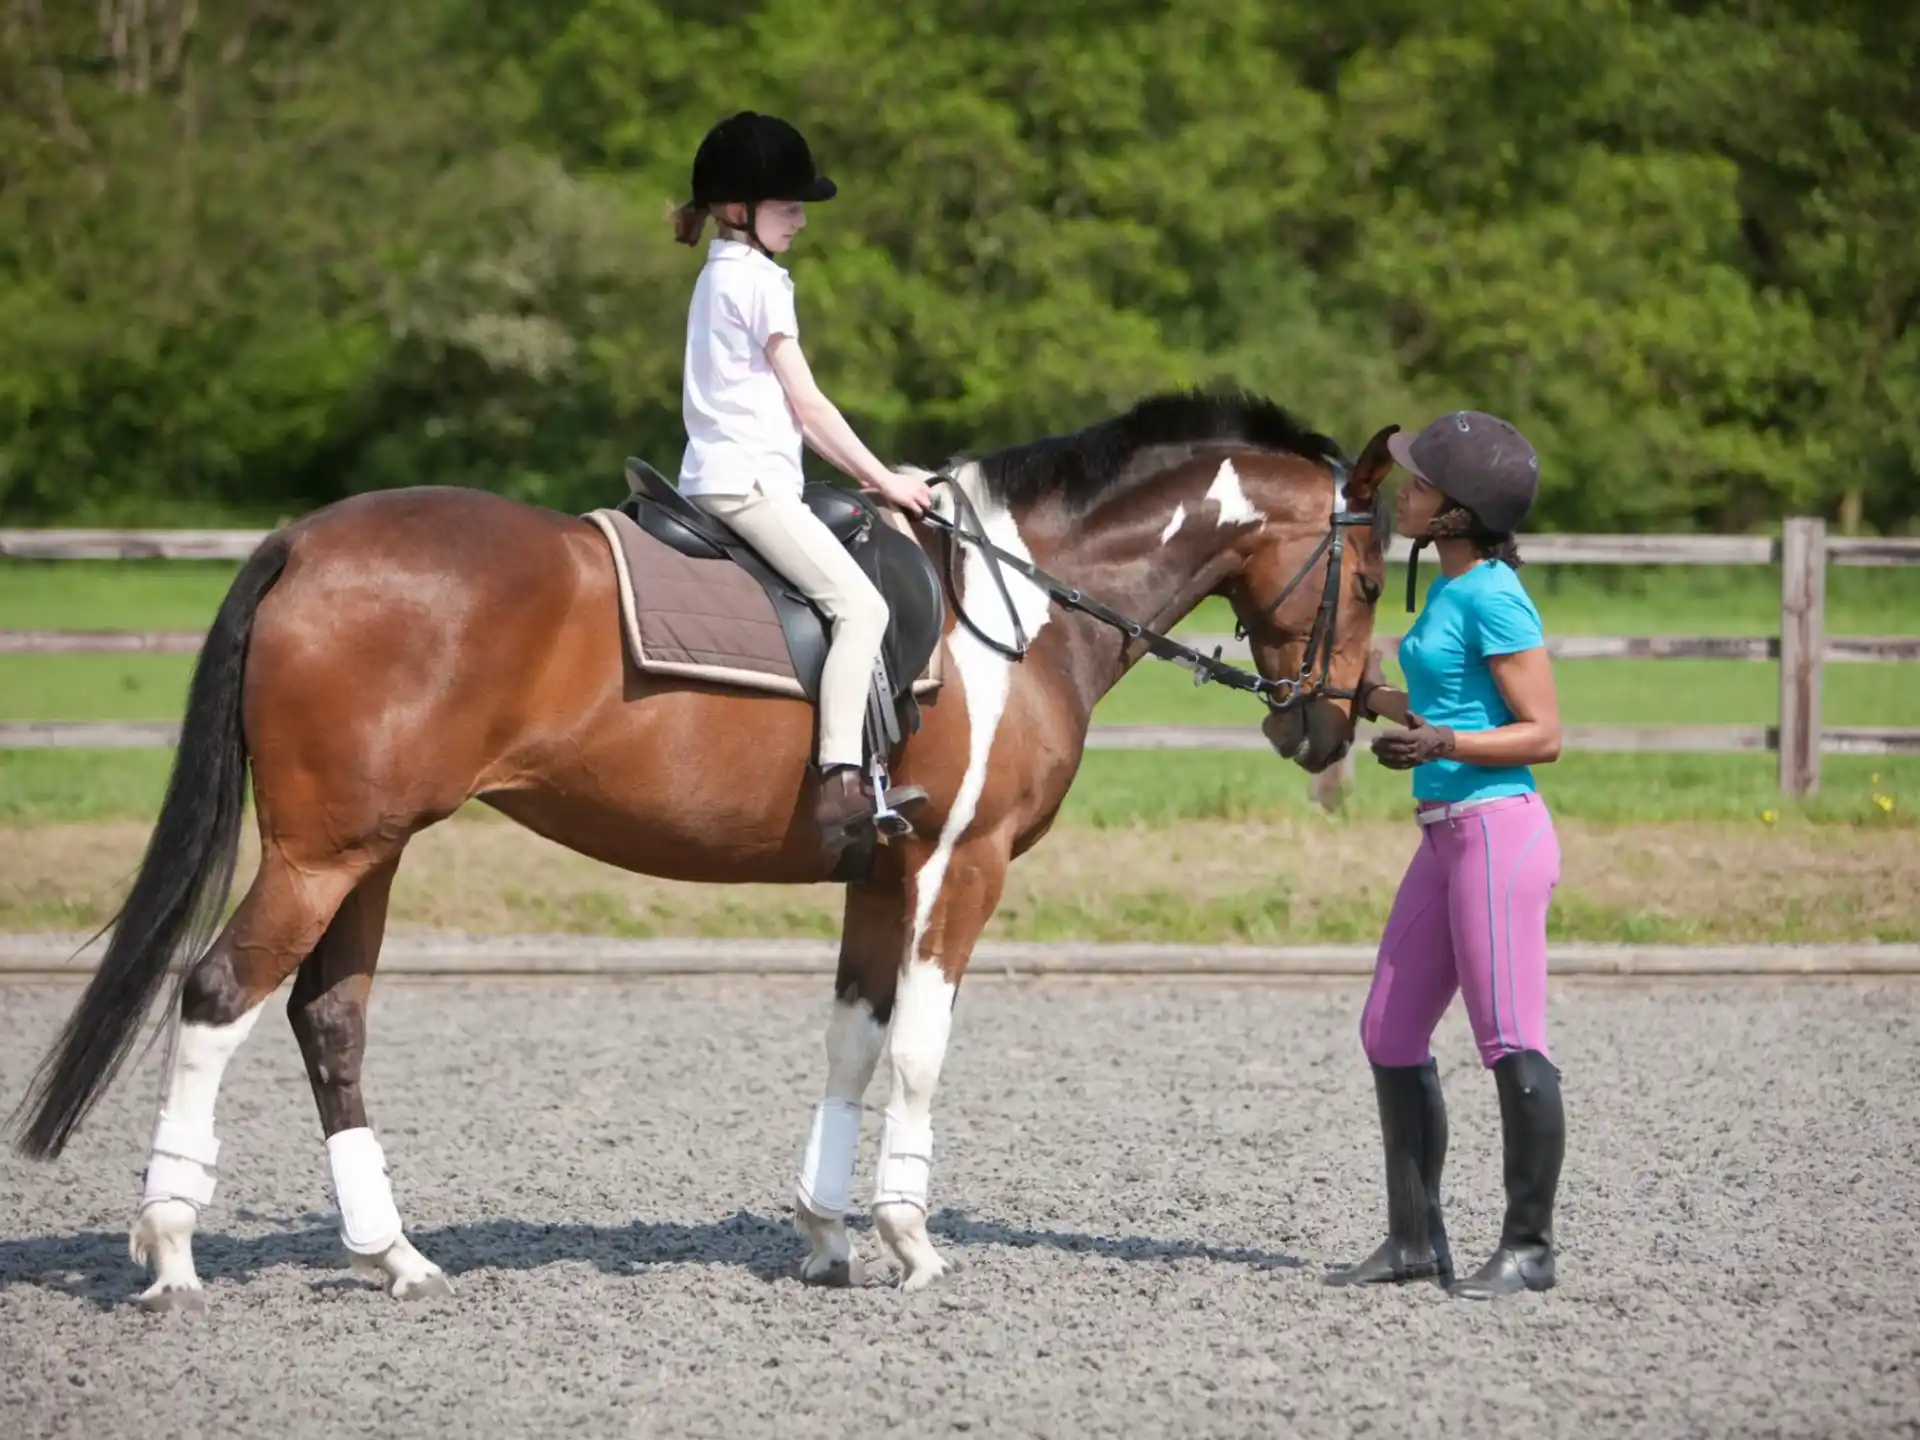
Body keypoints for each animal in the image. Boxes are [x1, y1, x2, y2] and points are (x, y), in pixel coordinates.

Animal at [9, 388, 1396, 1308]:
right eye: (1379, 575)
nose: (1328, 727)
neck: (1019, 603)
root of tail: (307, 537)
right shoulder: (961, 864)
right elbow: (924, 1050)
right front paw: (909, 1239)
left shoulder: (878, 870)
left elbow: (853, 1039)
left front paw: (827, 1235)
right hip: (321, 853)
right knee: (217, 998)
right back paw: (171, 1248)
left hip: (370, 851)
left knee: (326, 1020)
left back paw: (391, 1254)